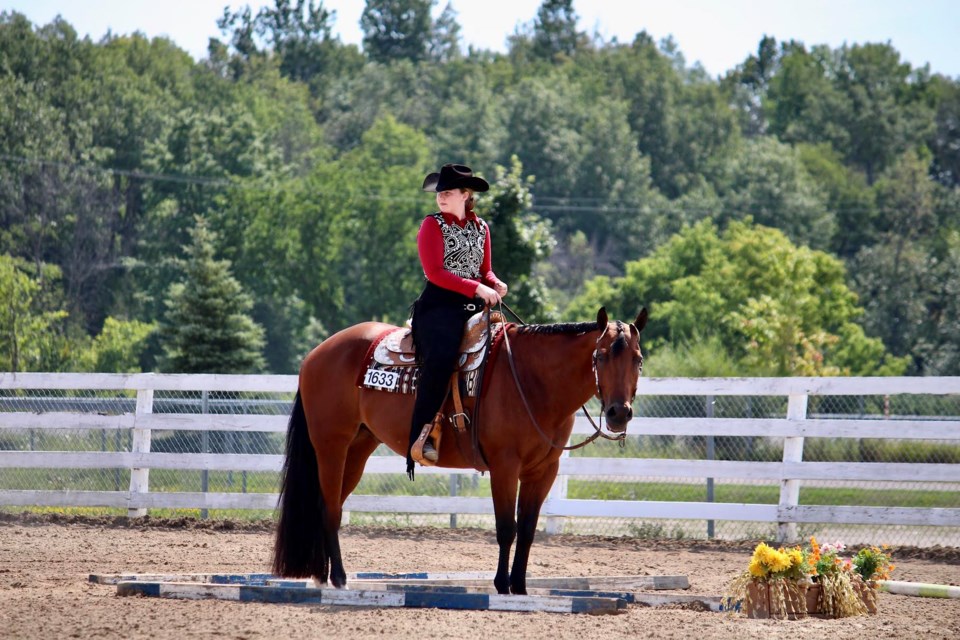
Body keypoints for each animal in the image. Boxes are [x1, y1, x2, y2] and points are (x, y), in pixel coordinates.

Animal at [272, 304, 644, 596]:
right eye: (600, 355)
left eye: (638, 359)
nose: (618, 413)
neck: (532, 381)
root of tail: (316, 354)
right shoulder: (504, 466)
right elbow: (506, 528)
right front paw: (502, 586)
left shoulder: (543, 472)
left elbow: (526, 530)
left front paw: (521, 587)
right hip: (331, 446)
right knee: (331, 511)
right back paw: (338, 578)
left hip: (359, 448)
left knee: (326, 505)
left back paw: (322, 576)